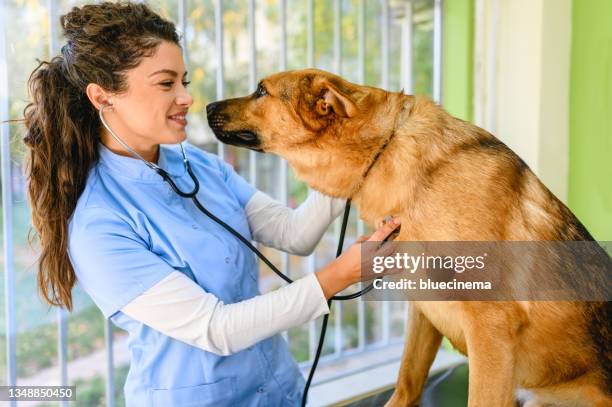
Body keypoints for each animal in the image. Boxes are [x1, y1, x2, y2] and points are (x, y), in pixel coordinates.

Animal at [207, 68, 612, 406]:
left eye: (261, 90)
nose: (206, 104)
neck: (387, 151)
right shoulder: (423, 308)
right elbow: (407, 379)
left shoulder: (490, 329)